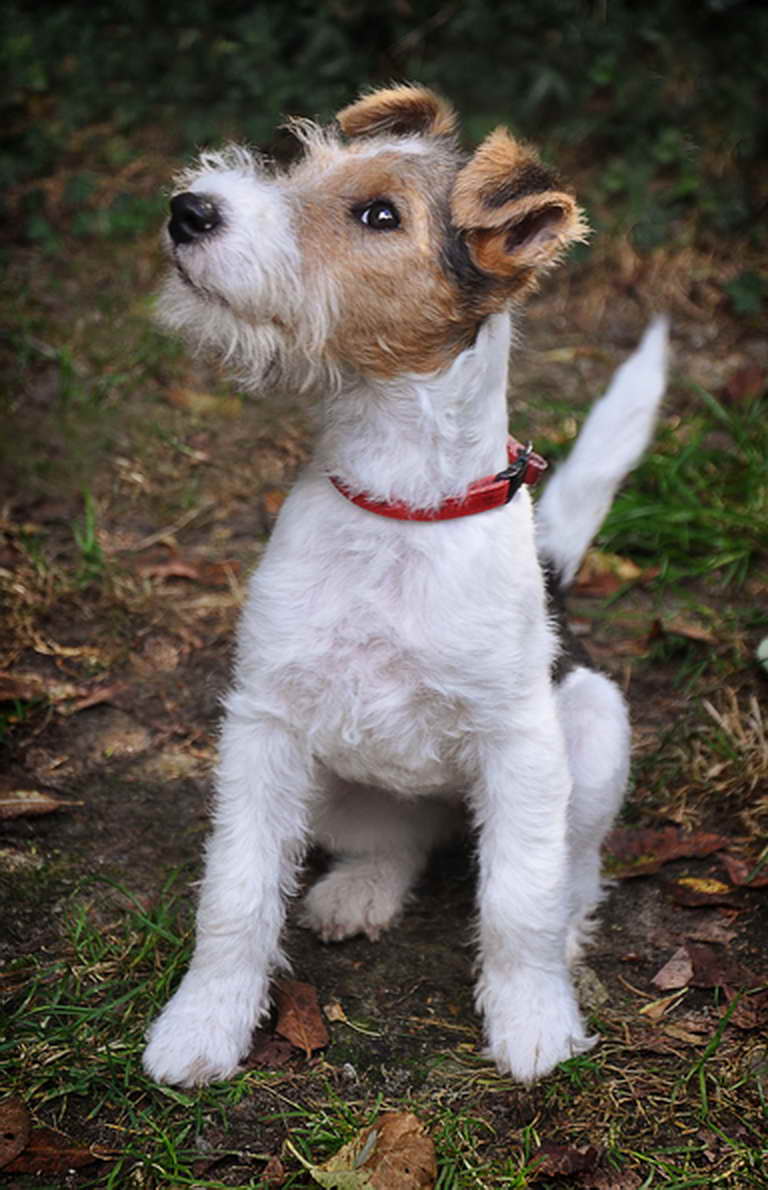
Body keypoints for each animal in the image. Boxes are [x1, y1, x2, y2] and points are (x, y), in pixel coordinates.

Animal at [140, 83, 666, 1090]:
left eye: (379, 215)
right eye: (300, 164)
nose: (190, 210)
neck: (397, 504)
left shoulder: (518, 740)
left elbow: (517, 903)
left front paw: (533, 1025)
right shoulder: (263, 723)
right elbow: (234, 895)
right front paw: (200, 1028)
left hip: (592, 729)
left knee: (573, 866)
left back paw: (568, 934)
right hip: (340, 782)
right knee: (396, 842)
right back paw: (357, 894)